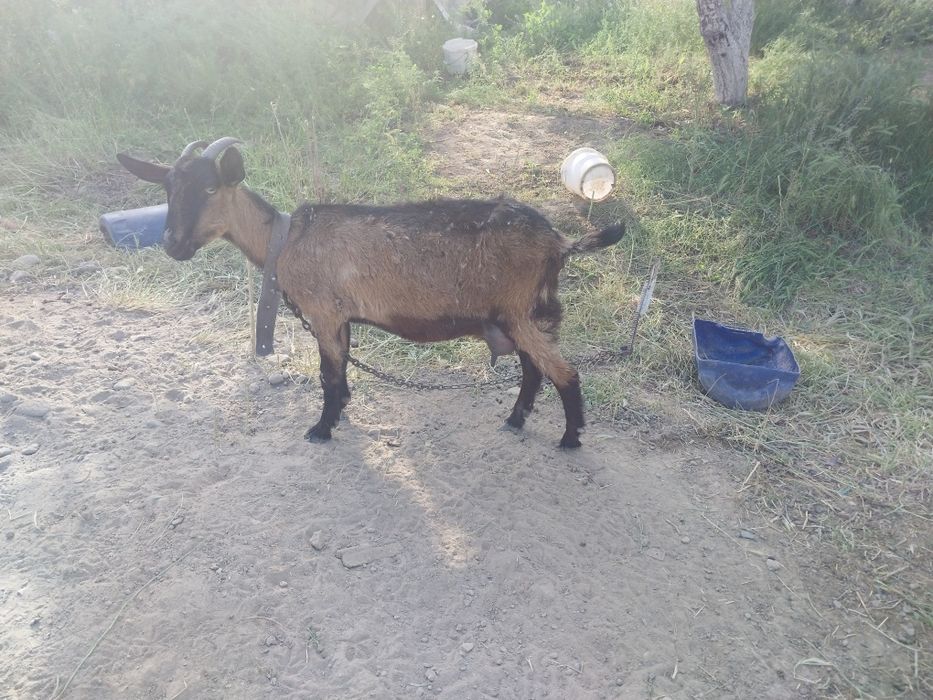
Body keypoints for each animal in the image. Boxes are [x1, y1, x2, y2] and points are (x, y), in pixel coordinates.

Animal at [117, 138, 624, 447]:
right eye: (168, 188)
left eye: (209, 188)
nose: (173, 245)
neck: (284, 240)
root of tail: (558, 241)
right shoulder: (339, 318)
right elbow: (340, 372)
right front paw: (339, 413)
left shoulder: (323, 313)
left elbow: (328, 375)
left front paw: (321, 429)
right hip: (514, 316)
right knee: (534, 369)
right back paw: (517, 419)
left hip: (521, 312)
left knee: (564, 373)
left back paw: (570, 438)